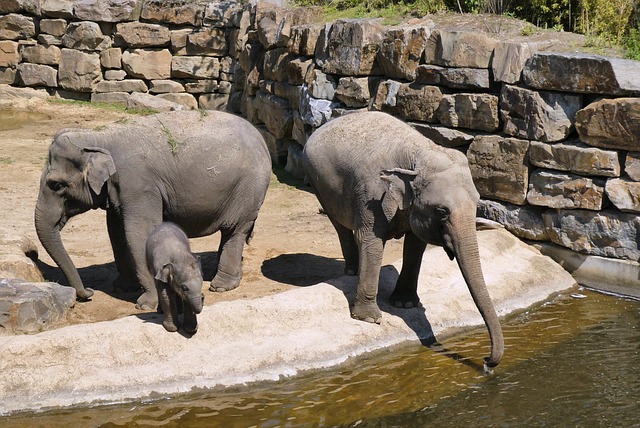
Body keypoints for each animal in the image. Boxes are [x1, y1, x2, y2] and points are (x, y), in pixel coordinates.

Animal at [35, 109, 270, 310]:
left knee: (234, 230)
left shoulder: (139, 185)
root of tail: (261, 140)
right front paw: (122, 288)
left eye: (57, 185)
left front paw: (146, 304)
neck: (99, 136)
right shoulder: (118, 191)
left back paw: (221, 286)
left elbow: (139, 233)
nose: (89, 292)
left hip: (248, 189)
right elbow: (116, 231)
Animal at [302, 111, 502, 368]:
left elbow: (416, 245)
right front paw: (371, 320)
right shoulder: (372, 195)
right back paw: (352, 271)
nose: (487, 361)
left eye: (477, 202)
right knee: (340, 226)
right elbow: (370, 241)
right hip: (319, 184)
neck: (420, 154)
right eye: (442, 211)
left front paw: (404, 304)